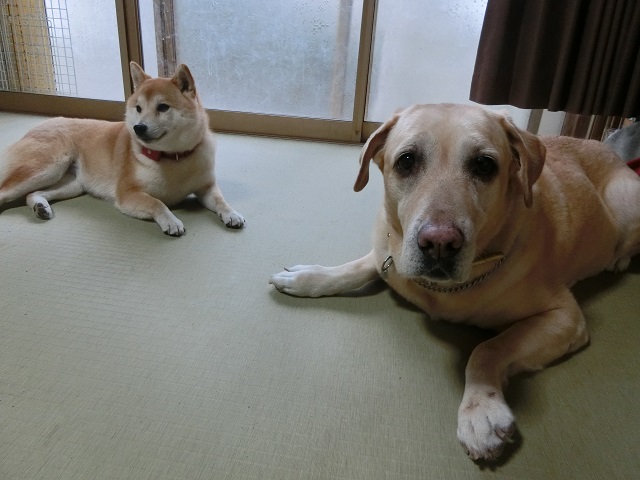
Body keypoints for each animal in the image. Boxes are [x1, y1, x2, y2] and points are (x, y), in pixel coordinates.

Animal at [0, 62, 244, 235]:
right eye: (138, 108)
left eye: (163, 107)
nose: (138, 127)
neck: (172, 157)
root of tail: (39, 124)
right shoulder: (127, 193)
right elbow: (157, 203)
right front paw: (171, 221)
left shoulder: (205, 187)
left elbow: (220, 200)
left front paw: (232, 214)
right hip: (46, 168)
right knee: (8, 190)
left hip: (71, 184)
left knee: (32, 194)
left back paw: (40, 207)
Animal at [270, 103, 640, 461]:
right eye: (406, 161)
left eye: (484, 165)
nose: (438, 244)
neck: (441, 290)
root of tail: (608, 149)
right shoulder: (386, 256)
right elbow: (352, 269)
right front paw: (308, 278)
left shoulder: (565, 316)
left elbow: (487, 349)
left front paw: (481, 411)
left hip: (626, 202)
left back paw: (619, 260)